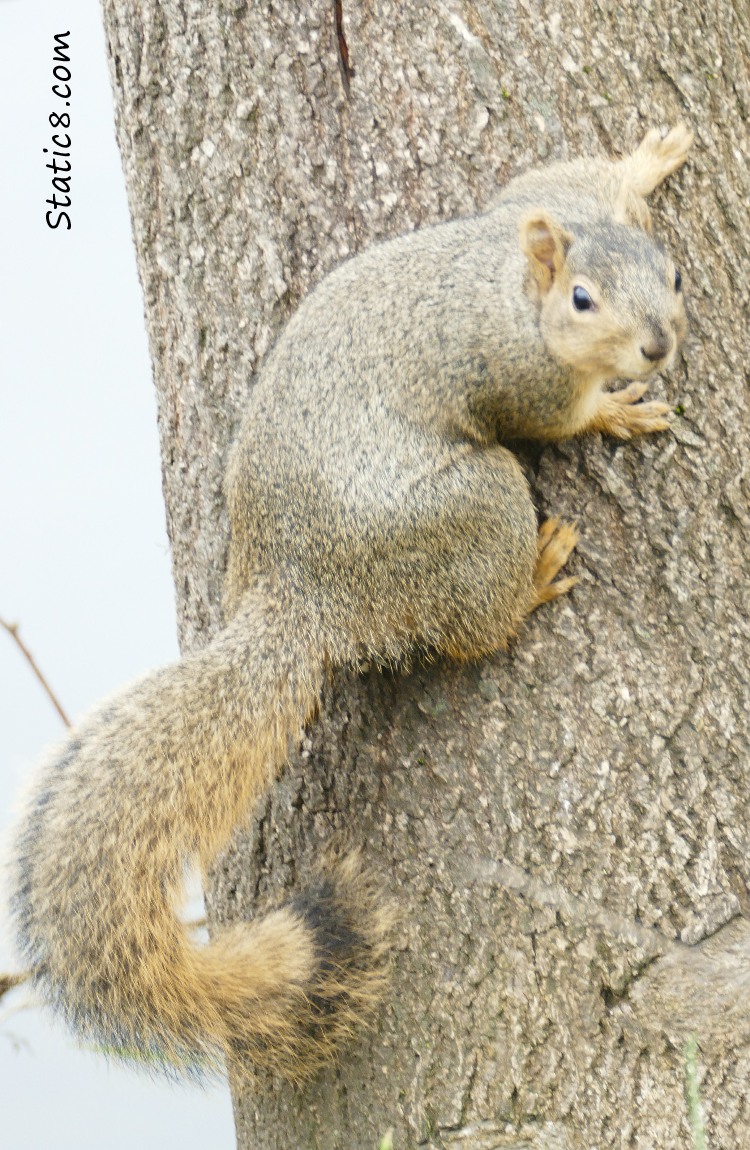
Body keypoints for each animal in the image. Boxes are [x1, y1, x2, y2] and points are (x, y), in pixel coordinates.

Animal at [8, 123, 694, 1076]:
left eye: (672, 274)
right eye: (584, 300)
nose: (658, 348)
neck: (516, 288)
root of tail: (302, 596)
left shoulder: (543, 200)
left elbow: (569, 176)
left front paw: (649, 158)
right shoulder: (520, 376)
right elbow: (557, 419)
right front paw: (614, 414)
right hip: (467, 514)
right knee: (472, 626)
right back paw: (530, 579)